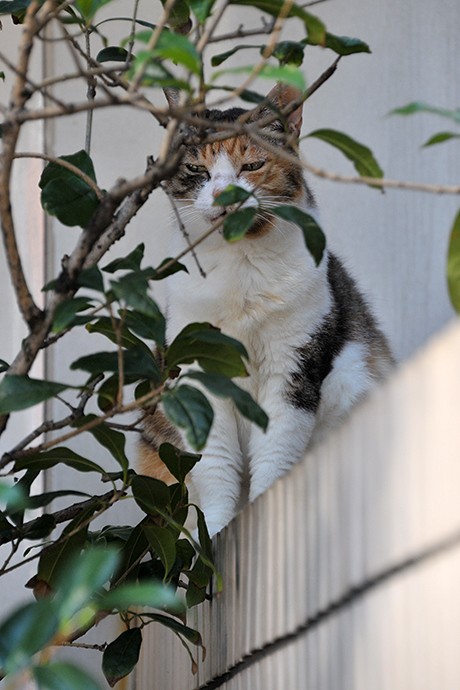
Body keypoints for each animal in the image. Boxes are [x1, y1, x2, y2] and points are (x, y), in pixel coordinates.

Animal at [139, 83, 392, 536]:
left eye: (252, 165)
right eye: (197, 170)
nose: (224, 195)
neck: (241, 269)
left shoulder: (292, 365)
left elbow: (275, 454)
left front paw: (260, 513)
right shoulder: (198, 375)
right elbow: (215, 467)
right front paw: (214, 533)